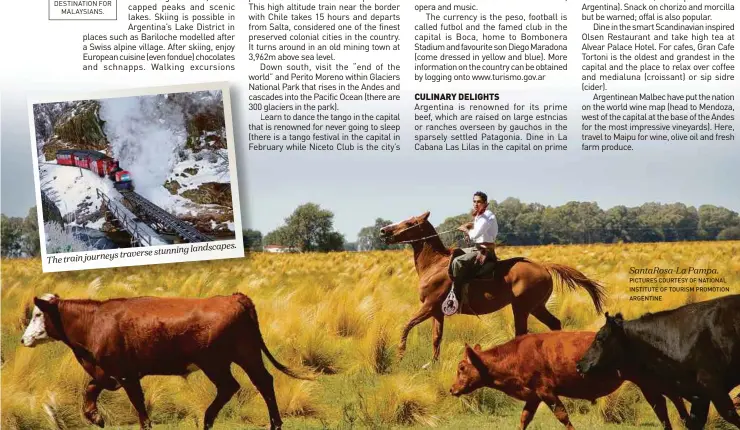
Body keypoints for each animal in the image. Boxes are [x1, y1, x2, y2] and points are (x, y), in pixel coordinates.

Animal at [19, 292, 310, 430]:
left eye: (37, 314)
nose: (23, 339)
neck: (95, 322)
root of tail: (233, 297)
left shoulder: (126, 374)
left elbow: (138, 406)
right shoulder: (108, 372)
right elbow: (90, 389)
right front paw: (95, 417)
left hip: (216, 362)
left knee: (232, 386)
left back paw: (207, 419)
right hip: (247, 354)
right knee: (264, 382)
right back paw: (274, 424)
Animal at [382, 210, 608, 368]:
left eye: (409, 223)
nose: (384, 231)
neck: (435, 264)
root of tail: (543, 267)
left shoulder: (428, 307)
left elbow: (406, 326)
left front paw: (399, 356)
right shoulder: (437, 311)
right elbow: (436, 338)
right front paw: (432, 364)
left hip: (522, 308)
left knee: (523, 332)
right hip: (536, 307)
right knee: (554, 324)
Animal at [448, 330, 692, 428]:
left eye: (461, 367)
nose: (451, 389)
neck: (517, 354)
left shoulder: (546, 392)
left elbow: (563, 416)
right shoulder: (534, 396)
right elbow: (524, 419)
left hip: (651, 382)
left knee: (668, 402)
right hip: (650, 383)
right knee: (666, 403)